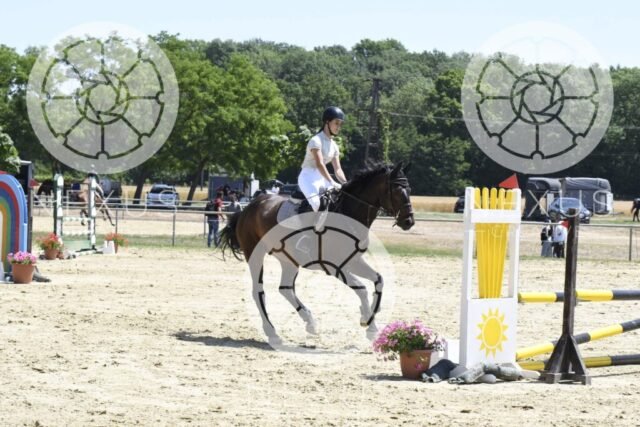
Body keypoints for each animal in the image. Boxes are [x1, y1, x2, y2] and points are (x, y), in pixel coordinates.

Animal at [219, 162, 414, 345]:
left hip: (288, 260)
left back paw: (310, 322)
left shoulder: (353, 261)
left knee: (285, 289)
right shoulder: (335, 267)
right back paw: (272, 333)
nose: (409, 221)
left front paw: (370, 316)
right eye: (397, 191)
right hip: (255, 255)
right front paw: (369, 324)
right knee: (258, 291)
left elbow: (378, 279)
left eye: (409, 190)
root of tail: (249, 208)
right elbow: (361, 289)